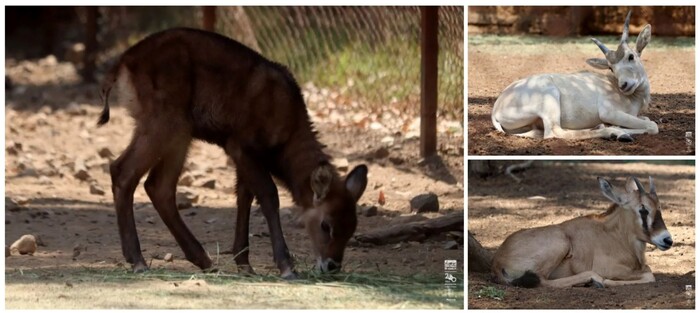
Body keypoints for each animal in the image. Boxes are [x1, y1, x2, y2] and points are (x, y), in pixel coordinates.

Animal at [100, 28, 372, 278]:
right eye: (326, 225)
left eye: (352, 227)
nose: (332, 265)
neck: (286, 137)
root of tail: (122, 65)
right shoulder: (240, 144)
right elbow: (269, 195)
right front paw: (286, 266)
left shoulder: (244, 155)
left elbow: (244, 197)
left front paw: (245, 264)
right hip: (165, 121)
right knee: (123, 170)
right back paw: (138, 260)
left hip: (179, 132)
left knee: (159, 186)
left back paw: (204, 260)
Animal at [490, 10, 660, 141]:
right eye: (611, 68)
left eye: (631, 56)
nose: (624, 85)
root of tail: (496, 109)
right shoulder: (609, 112)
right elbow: (652, 125)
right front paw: (617, 128)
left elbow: (647, 119)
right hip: (550, 98)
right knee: (554, 132)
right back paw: (614, 133)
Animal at [492, 176, 672, 288]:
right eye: (643, 209)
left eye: (659, 208)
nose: (667, 240)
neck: (617, 235)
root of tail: (498, 260)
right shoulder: (612, 269)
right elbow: (649, 274)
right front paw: (607, 282)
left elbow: (648, 270)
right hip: (560, 242)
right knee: (542, 280)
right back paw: (593, 280)